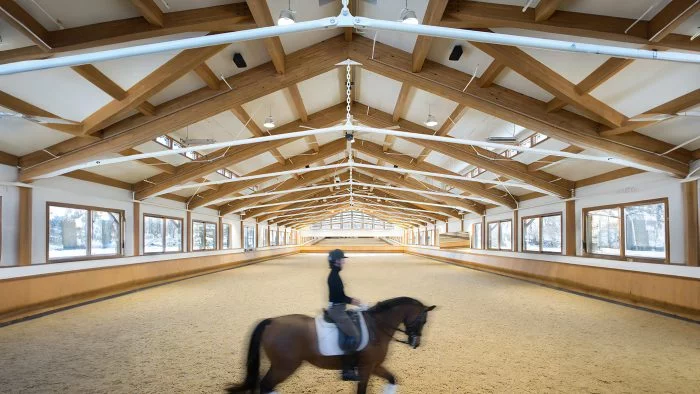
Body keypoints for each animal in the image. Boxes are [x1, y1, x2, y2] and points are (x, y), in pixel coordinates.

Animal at [226, 298, 432, 392]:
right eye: (422, 320)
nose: (415, 343)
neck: (377, 327)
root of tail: (271, 321)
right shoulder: (366, 368)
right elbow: (362, 390)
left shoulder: (374, 366)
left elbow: (392, 379)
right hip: (284, 366)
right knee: (266, 385)